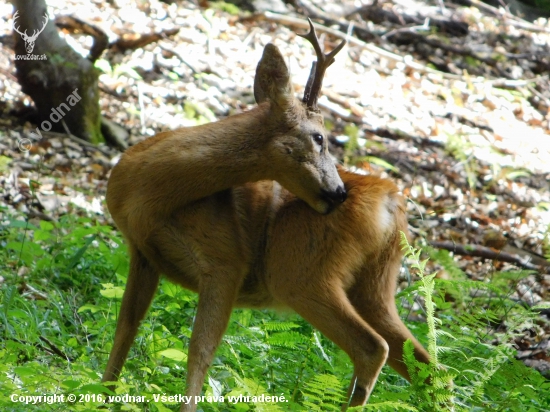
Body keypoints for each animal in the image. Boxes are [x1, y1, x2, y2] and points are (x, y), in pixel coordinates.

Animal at [102, 18, 432, 408]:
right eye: (319, 137)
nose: (339, 193)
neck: (149, 198)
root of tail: (390, 202)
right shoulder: (141, 252)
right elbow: (124, 330)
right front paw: (98, 395)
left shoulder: (226, 262)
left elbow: (200, 352)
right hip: (374, 286)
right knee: (431, 365)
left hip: (300, 272)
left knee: (372, 348)